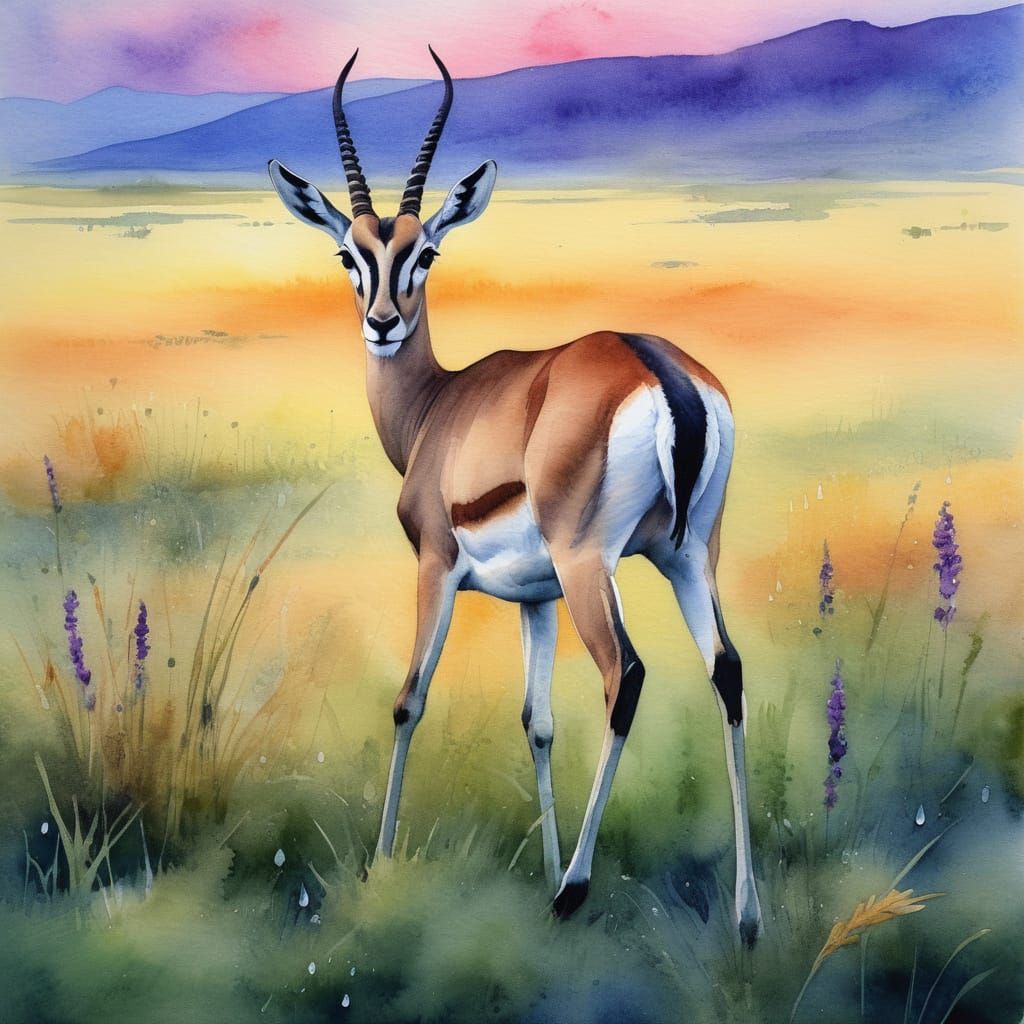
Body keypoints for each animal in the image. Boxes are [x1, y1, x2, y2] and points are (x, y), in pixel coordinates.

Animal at [268, 48, 763, 944]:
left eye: (425, 253)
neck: (437, 406)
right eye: (349, 255)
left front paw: (383, 864)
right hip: (687, 558)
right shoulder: (534, 599)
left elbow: (408, 701)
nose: (383, 323)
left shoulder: (436, 567)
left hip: (590, 565)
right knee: (728, 670)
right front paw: (540, 863)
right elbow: (537, 721)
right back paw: (745, 917)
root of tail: (658, 368)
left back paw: (576, 889)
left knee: (627, 675)